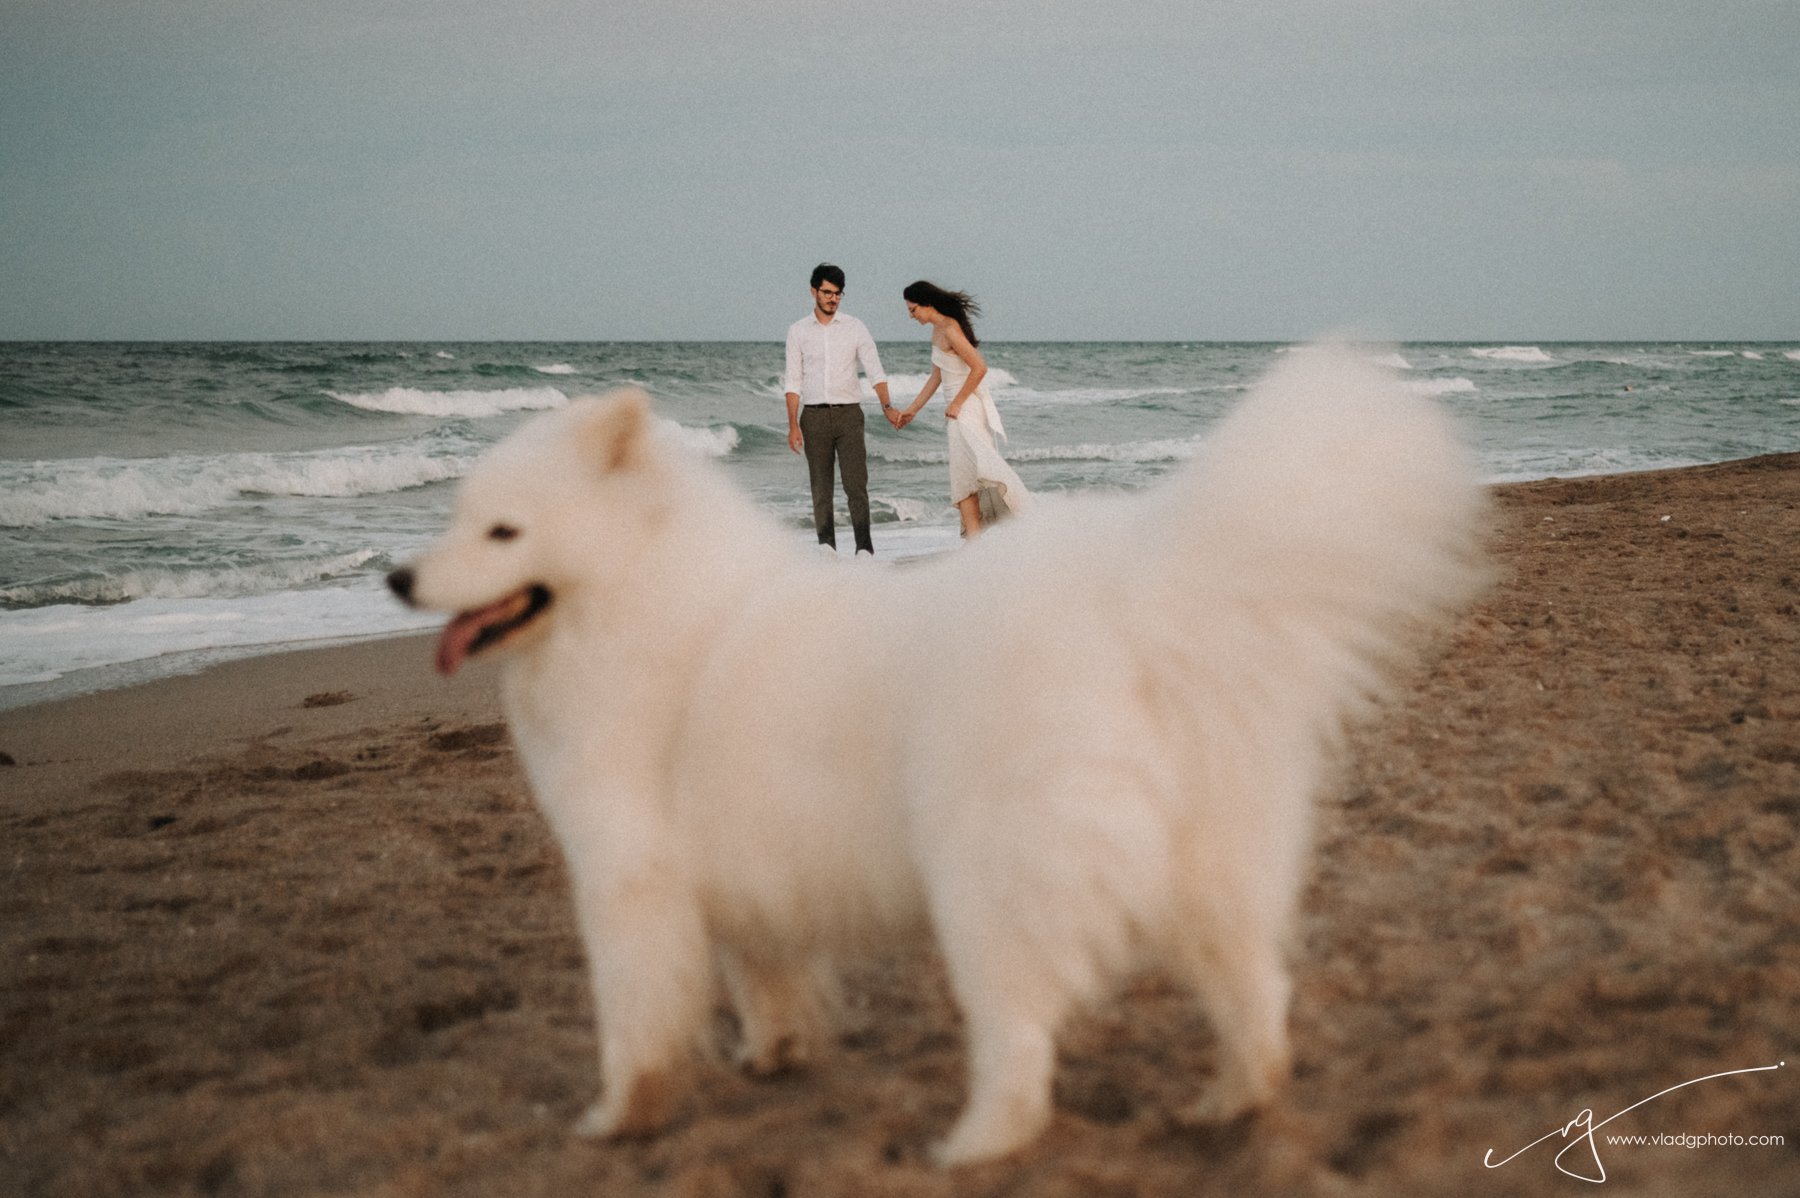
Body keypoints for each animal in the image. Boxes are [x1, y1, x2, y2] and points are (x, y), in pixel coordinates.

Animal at [387, 339, 1483, 1158]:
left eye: (503, 531)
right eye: (454, 517)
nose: (398, 578)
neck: (642, 599)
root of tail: (1139, 608)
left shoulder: (628, 879)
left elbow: (636, 1024)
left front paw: (618, 1119)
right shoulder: (742, 883)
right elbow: (766, 985)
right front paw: (774, 1057)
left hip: (988, 888)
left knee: (1021, 1042)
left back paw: (974, 1146)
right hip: (1206, 872)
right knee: (1256, 998)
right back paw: (1228, 1104)